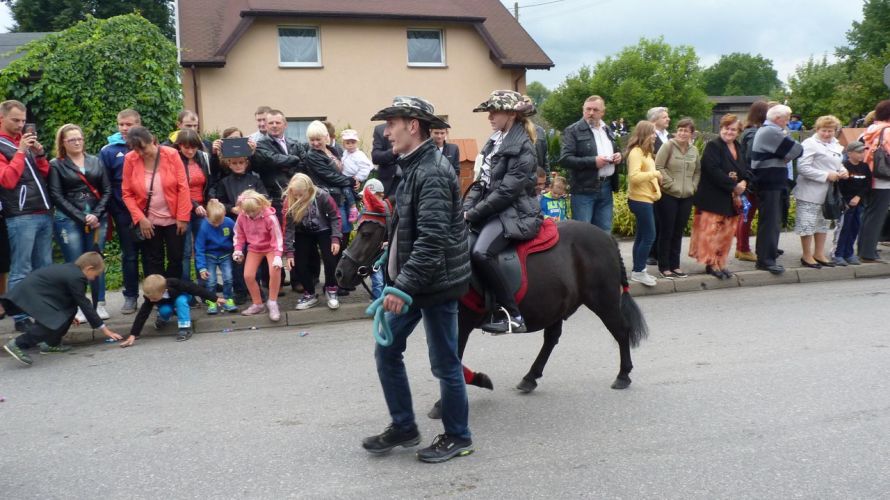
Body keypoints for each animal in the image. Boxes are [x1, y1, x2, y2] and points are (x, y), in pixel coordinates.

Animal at [336, 213, 648, 408]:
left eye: (366, 233)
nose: (340, 272)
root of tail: (606, 237)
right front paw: (477, 382)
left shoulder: (459, 324)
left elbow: (450, 361)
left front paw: (449, 399)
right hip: (557, 305)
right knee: (551, 339)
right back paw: (530, 377)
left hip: (603, 300)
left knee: (621, 331)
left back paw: (623, 374)